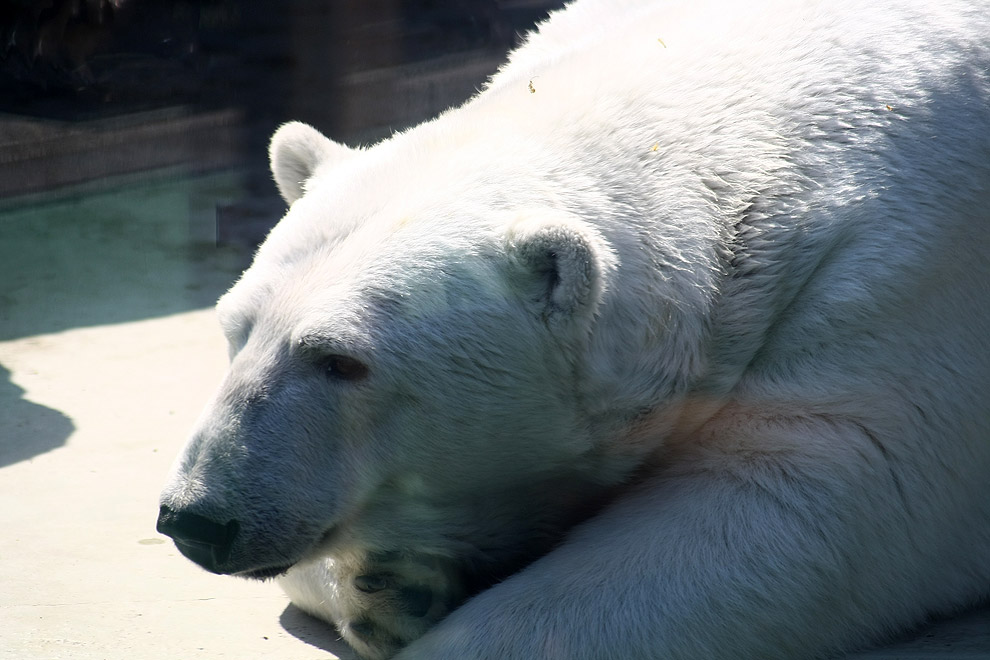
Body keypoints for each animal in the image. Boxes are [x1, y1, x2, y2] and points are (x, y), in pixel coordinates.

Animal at [155, 0, 990, 656]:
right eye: (235, 330)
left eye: (338, 360)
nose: (197, 518)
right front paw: (394, 583)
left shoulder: (900, 274)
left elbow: (803, 498)